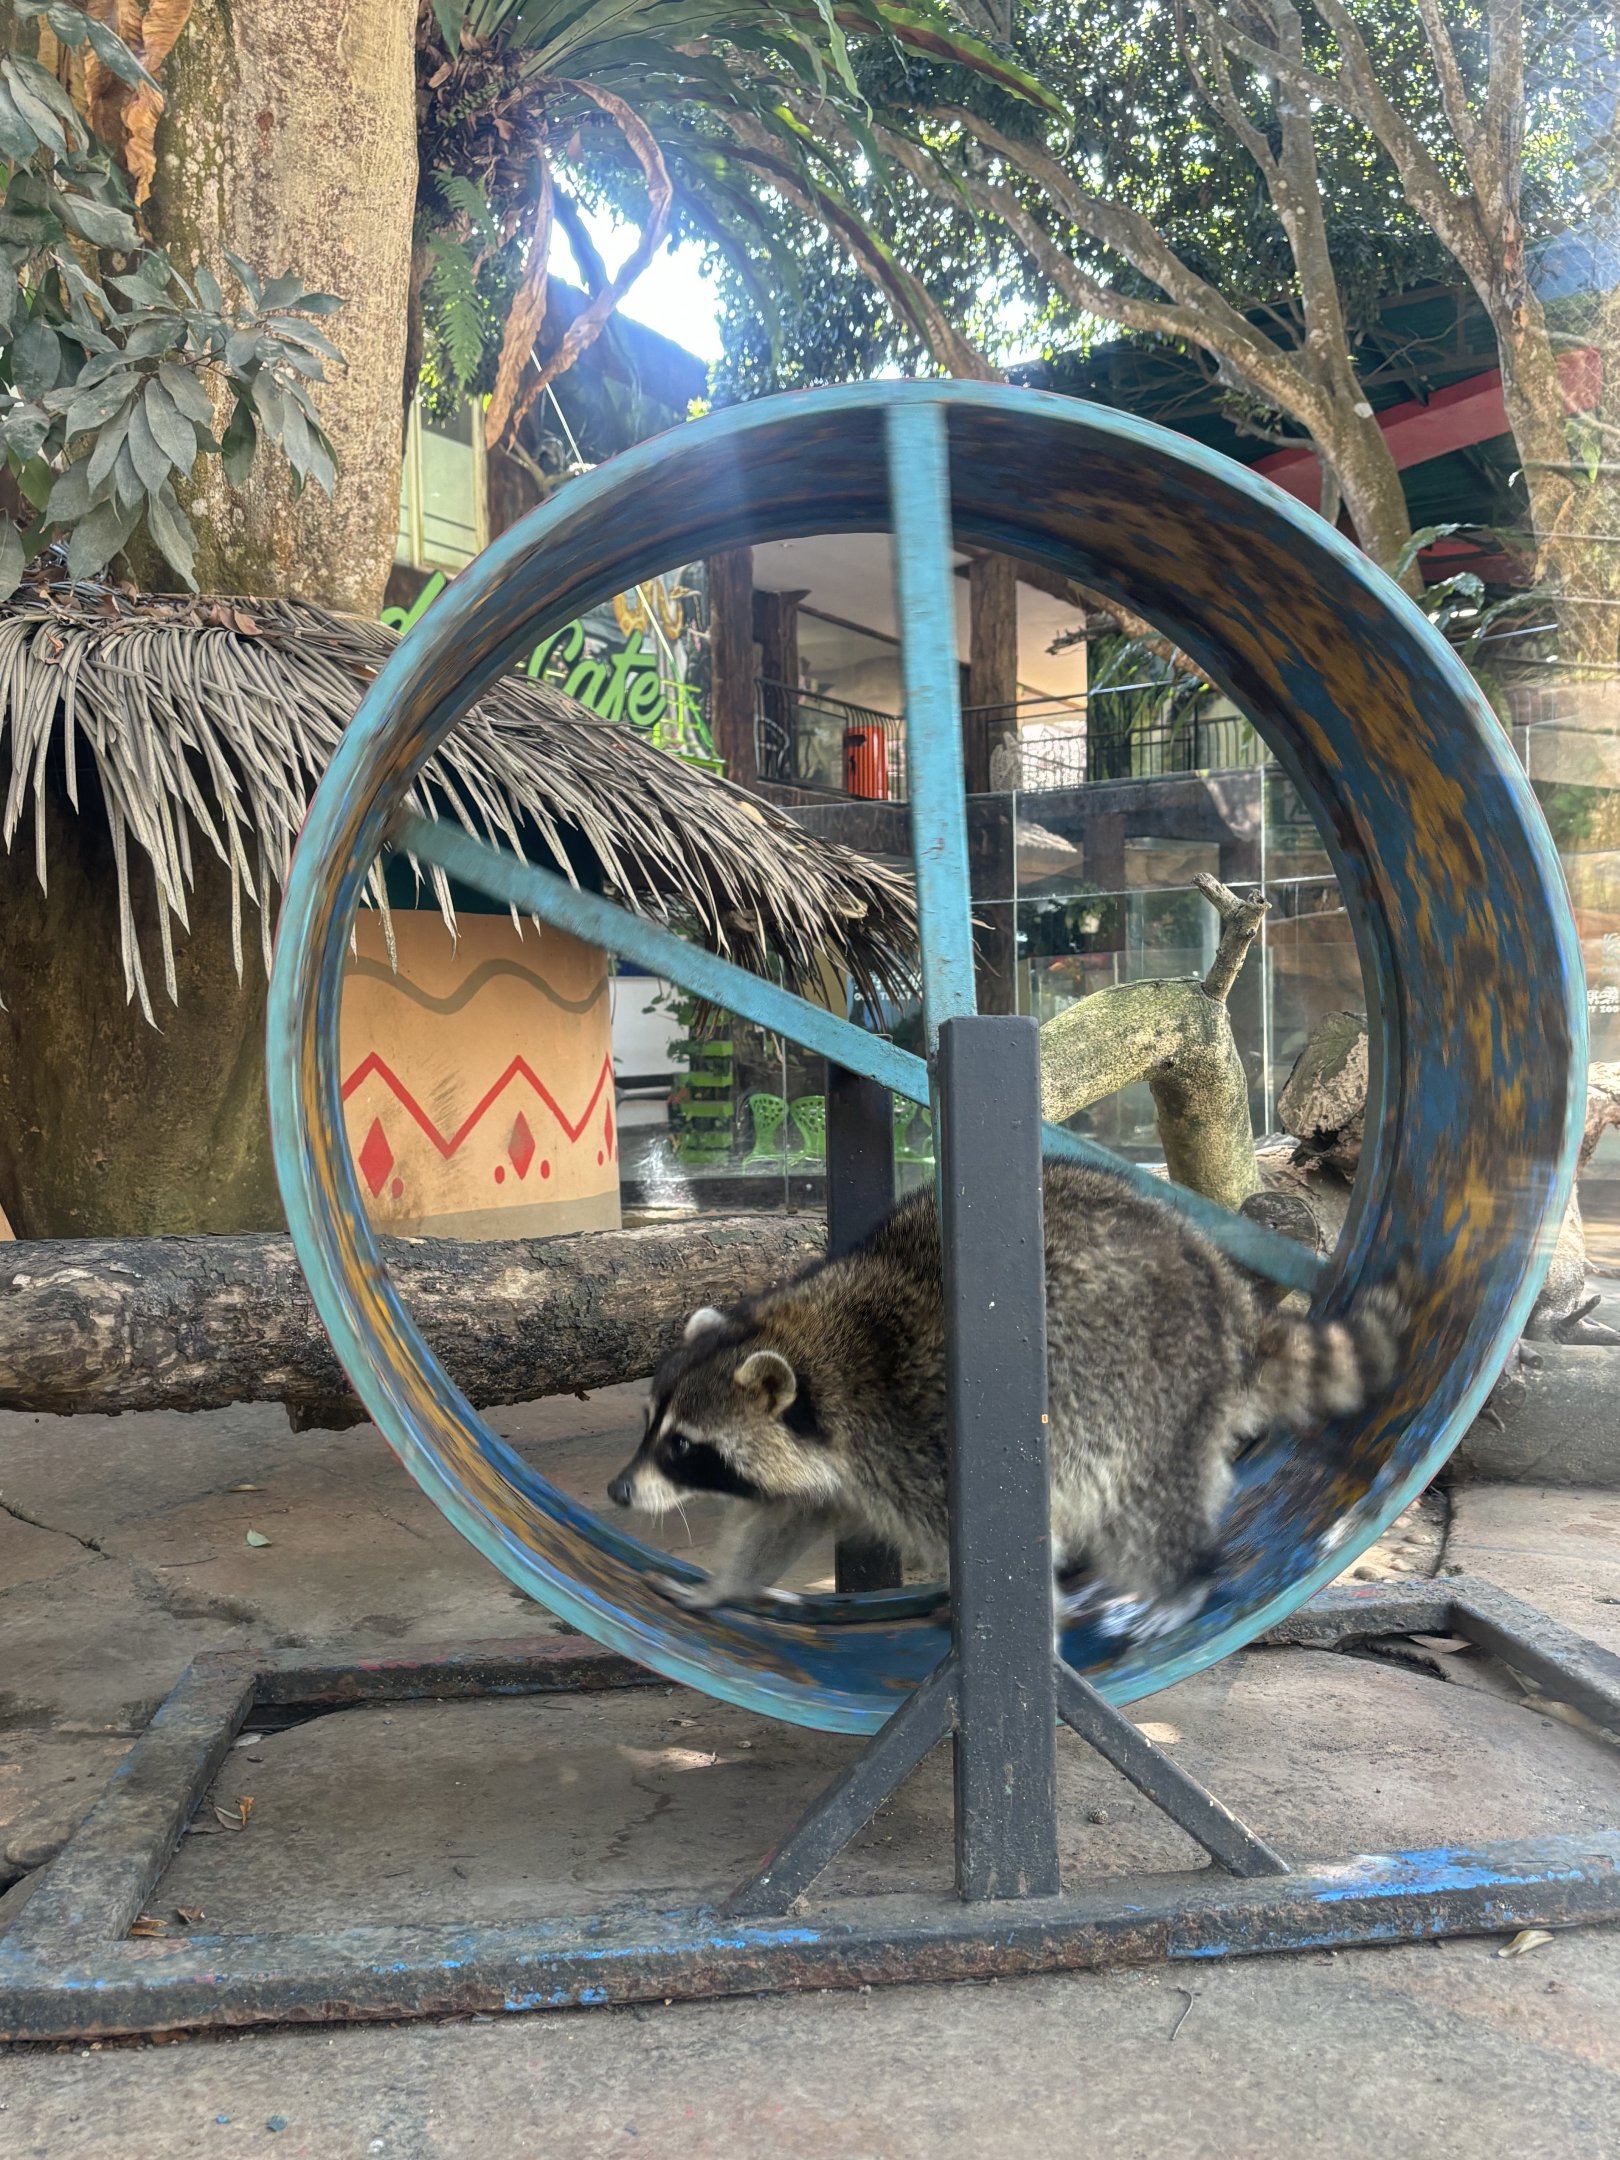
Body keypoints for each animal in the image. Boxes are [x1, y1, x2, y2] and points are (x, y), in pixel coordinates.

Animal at [607, 1161, 1402, 1636]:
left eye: (685, 1446)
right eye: (647, 1424)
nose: (619, 1490)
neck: (803, 1346)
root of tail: (1227, 1292)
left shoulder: (919, 1439)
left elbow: (997, 1546)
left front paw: (1023, 1614)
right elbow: (779, 1520)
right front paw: (722, 1587)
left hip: (1155, 1380)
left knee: (1147, 1500)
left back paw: (1180, 1580)